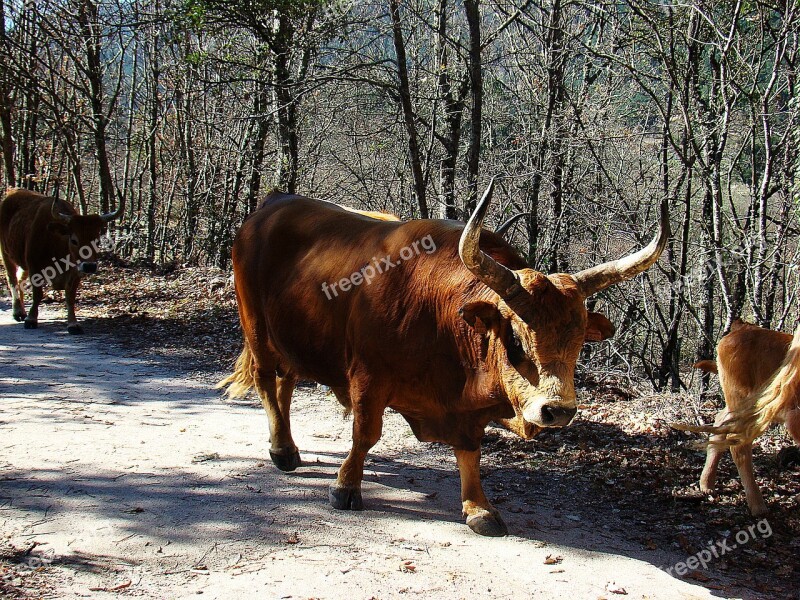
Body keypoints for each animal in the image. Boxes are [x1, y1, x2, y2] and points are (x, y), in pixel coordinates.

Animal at [0, 189, 122, 332]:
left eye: (97, 242)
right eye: (74, 240)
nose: (89, 266)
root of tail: (13, 192)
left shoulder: (75, 272)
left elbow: (70, 297)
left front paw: (73, 323)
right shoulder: (34, 266)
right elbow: (38, 294)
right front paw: (31, 319)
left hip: (23, 262)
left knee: (20, 280)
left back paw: (22, 311)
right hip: (6, 253)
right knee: (12, 280)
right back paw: (18, 312)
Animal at [220, 183, 668, 536]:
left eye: (578, 344)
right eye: (516, 341)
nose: (557, 410)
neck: (437, 312)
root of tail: (276, 202)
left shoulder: (464, 411)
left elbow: (470, 450)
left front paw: (479, 507)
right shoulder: (368, 378)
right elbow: (365, 434)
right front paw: (346, 486)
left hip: (292, 341)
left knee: (286, 383)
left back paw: (288, 445)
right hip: (256, 328)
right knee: (266, 380)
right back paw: (282, 449)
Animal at [688, 318, 800, 516]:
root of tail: (742, 326)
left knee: (720, 423)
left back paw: (706, 484)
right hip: (742, 399)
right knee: (738, 443)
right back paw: (758, 506)